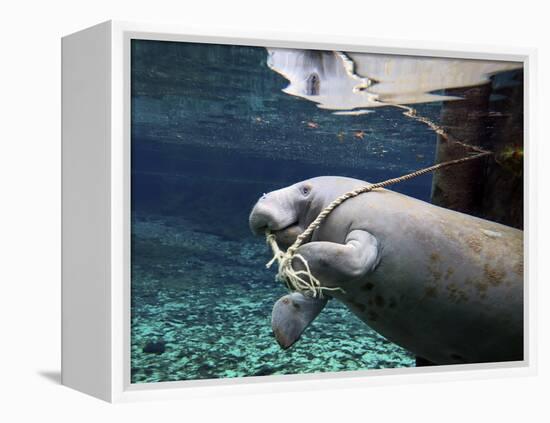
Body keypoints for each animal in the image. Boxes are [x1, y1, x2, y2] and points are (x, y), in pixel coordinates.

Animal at [250, 177, 528, 366]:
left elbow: (343, 259)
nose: (262, 198)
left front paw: (291, 266)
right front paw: (284, 334)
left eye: (305, 190)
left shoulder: (366, 239)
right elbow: (309, 296)